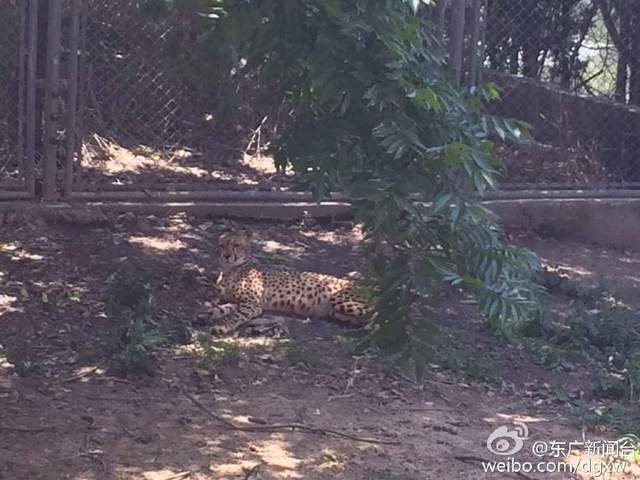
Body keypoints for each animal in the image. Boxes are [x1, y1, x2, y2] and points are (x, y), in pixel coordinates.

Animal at [209, 232, 370, 334]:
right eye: (222, 245)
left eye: (236, 245)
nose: (227, 256)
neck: (230, 269)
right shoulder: (234, 300)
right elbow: (221, 308)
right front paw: (209, 313)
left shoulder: (252, 305)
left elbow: (234, 316)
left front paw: (222, 327)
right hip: (335, 310)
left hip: (339, 299)